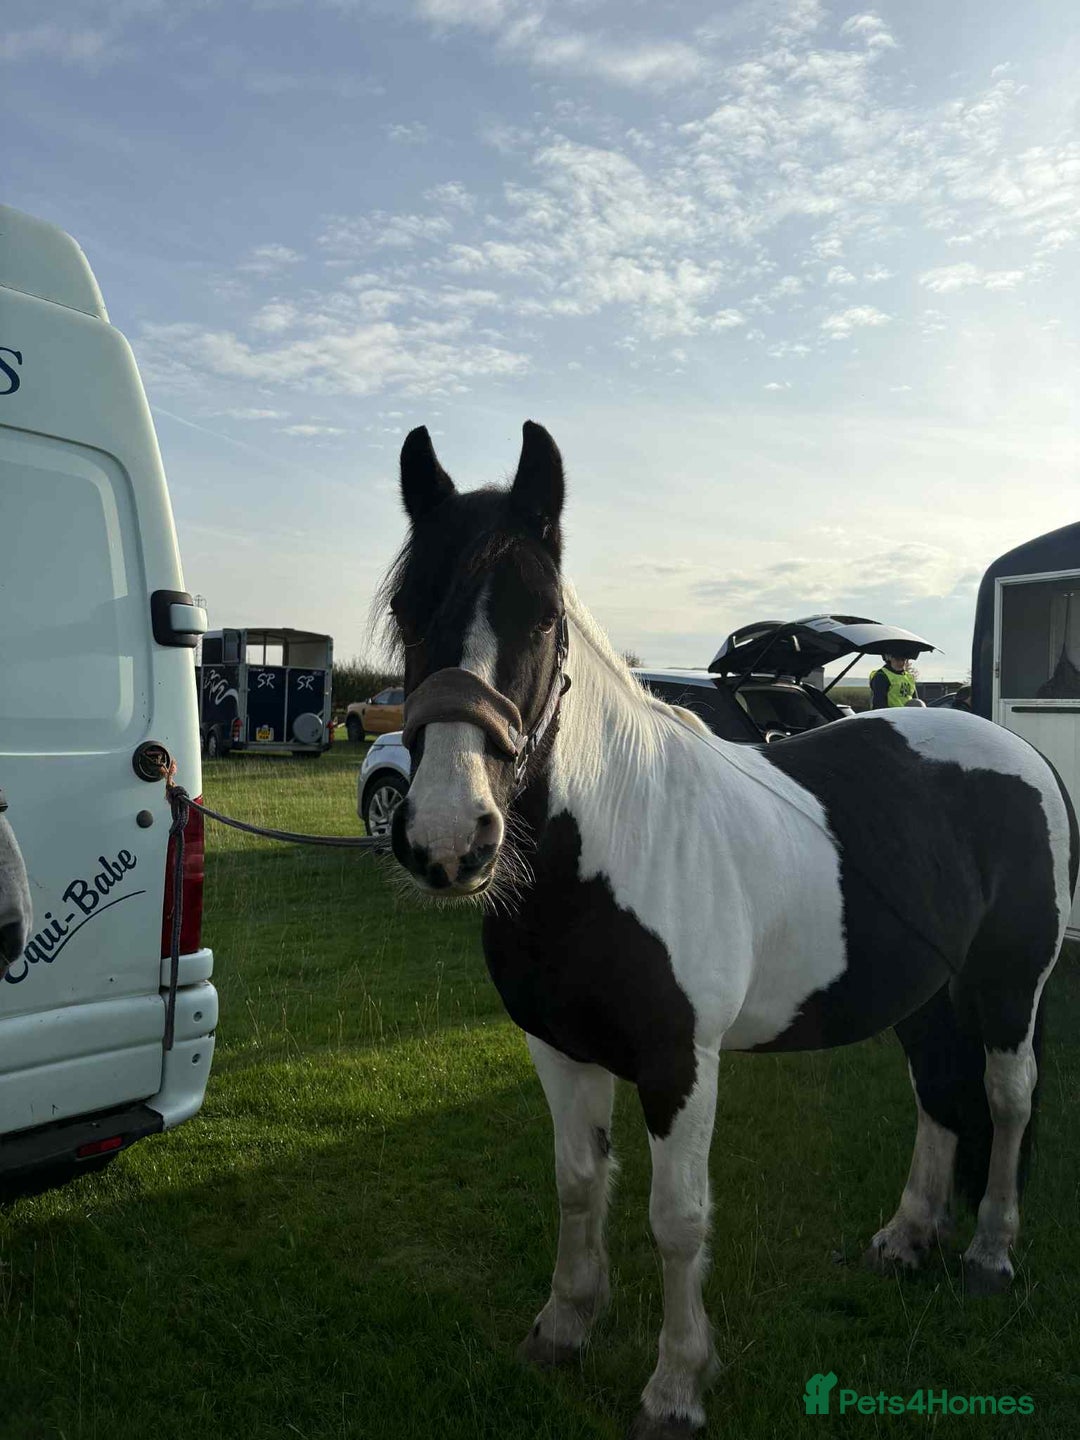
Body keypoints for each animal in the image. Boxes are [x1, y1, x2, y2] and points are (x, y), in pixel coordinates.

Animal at [382, 421, 1078, 1438]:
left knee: (1009, 1095)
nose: (447, 836)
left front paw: (676, 1386)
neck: (614, 844)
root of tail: (1016, 749)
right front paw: (563, 1326)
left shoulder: (681, 1063)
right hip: (923, 990)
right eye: (405, 607)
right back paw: (908, 1236)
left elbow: (678, 1220)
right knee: (939, 1093)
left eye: (542, 617)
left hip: (1010, 979)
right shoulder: (558, 1048)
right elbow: (578, 1185)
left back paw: (991, 1252)